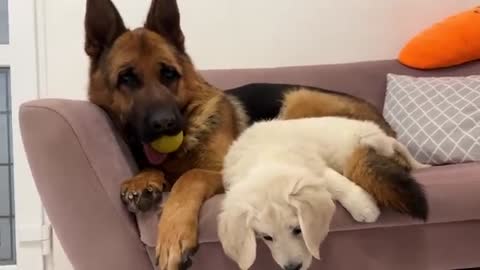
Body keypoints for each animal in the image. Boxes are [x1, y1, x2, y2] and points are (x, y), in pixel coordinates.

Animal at [218, 117, 428, 270]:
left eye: (298, 230)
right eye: (266, 237)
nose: (293, 268)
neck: (266, 159)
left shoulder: (315, 166)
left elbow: (336, 182)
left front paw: (363, 207)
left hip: (371, 141)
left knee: (399, 148)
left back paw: (420, 165)